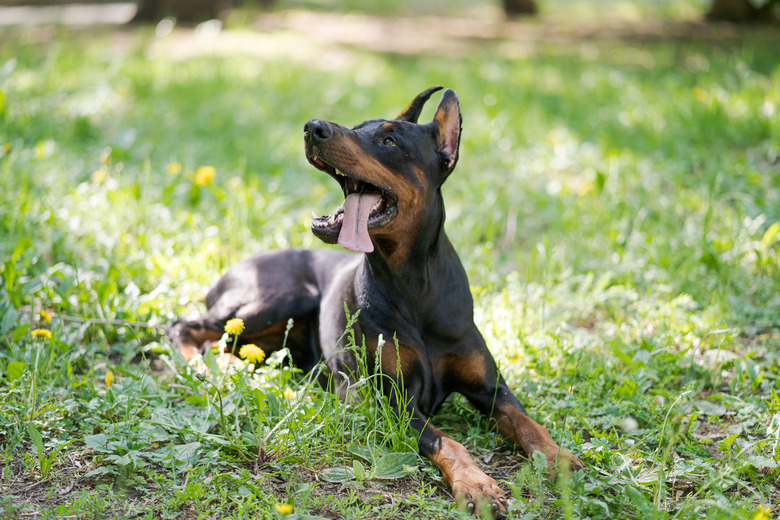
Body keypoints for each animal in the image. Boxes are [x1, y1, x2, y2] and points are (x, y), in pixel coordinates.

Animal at [171, 86, 584, 516]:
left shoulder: (491, 388)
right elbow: (449, 441)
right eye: (357, 127)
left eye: (390, 141)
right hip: (280, 297)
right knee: (185, 326)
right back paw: (204, 367)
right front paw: (477, 484)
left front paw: (557, 457)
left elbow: (526, 420)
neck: (414, 285)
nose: (313, 127)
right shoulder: (395, 402)